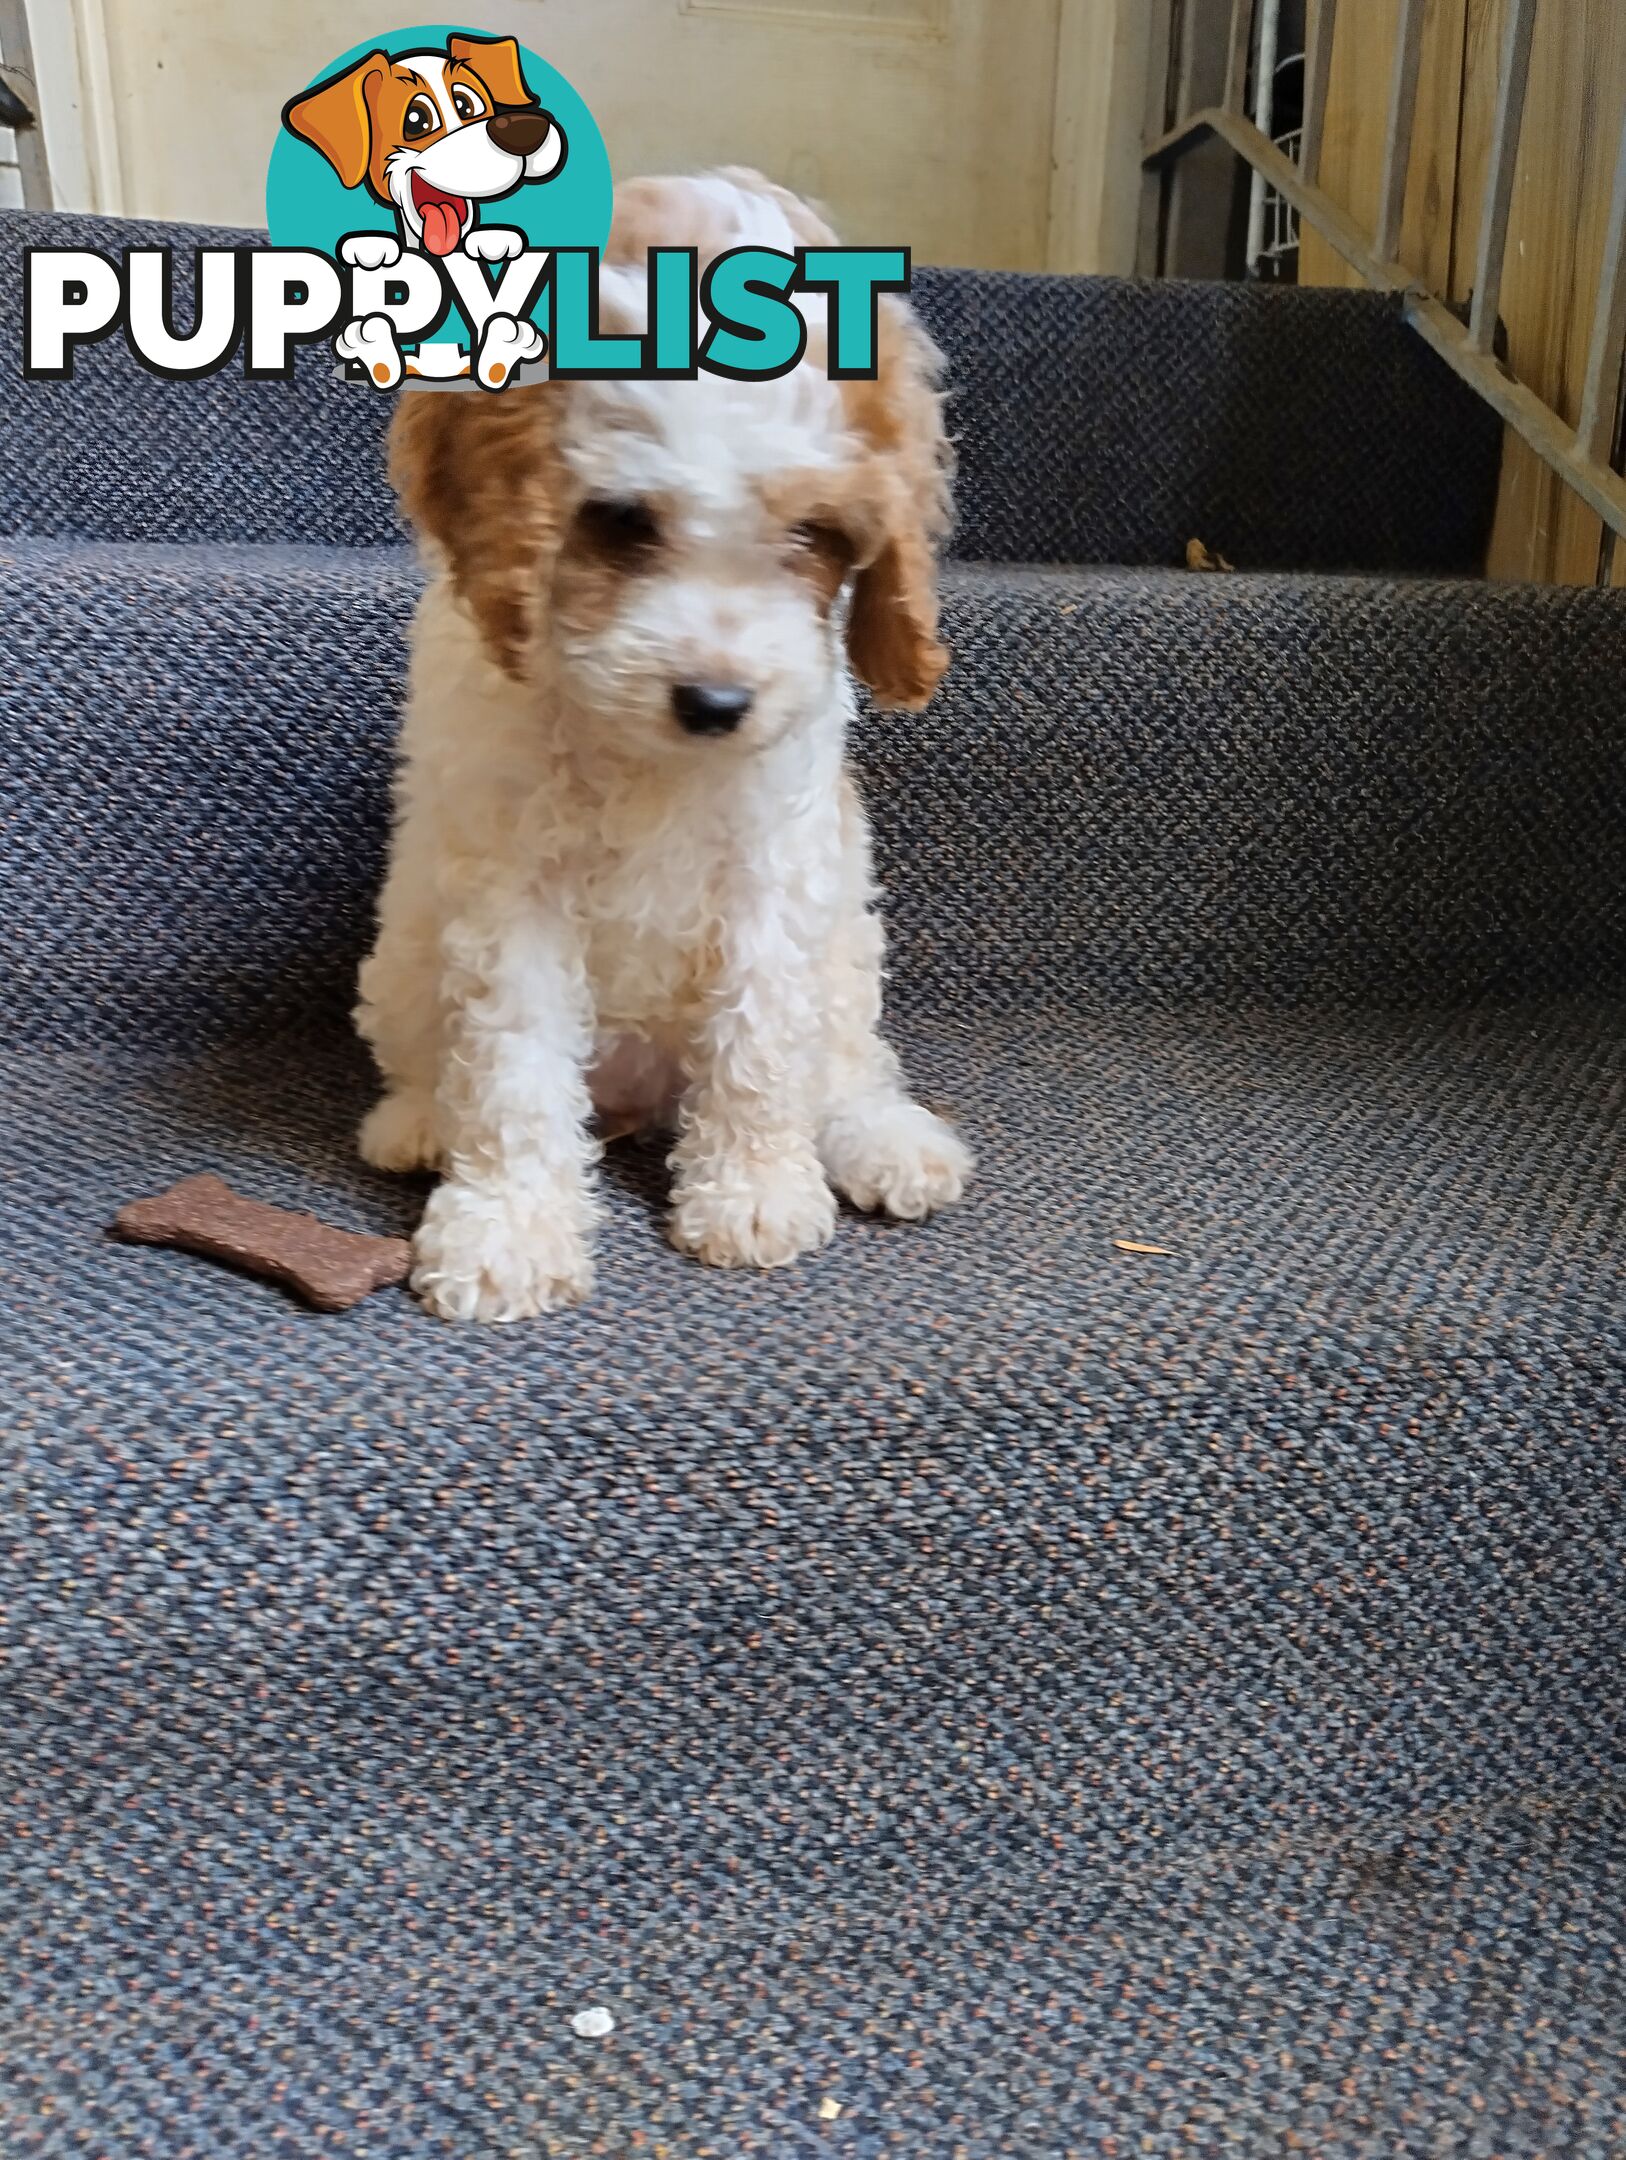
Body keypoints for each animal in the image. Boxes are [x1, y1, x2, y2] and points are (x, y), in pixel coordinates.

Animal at [354, 164, 971, 1313]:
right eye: (622, 520)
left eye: (815, 534)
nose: (716, 702)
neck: (645, 757)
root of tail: (639, 1100)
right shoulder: (511, 885)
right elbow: (510, 1066)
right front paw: (507, 1225)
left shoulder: (776, 869)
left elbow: (762, 1044)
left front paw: (755, 1194)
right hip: (406, 946)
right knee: (430, 1060)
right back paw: (416, 1124)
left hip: (847, 943)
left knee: (845, 1063)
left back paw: (883, 1142)